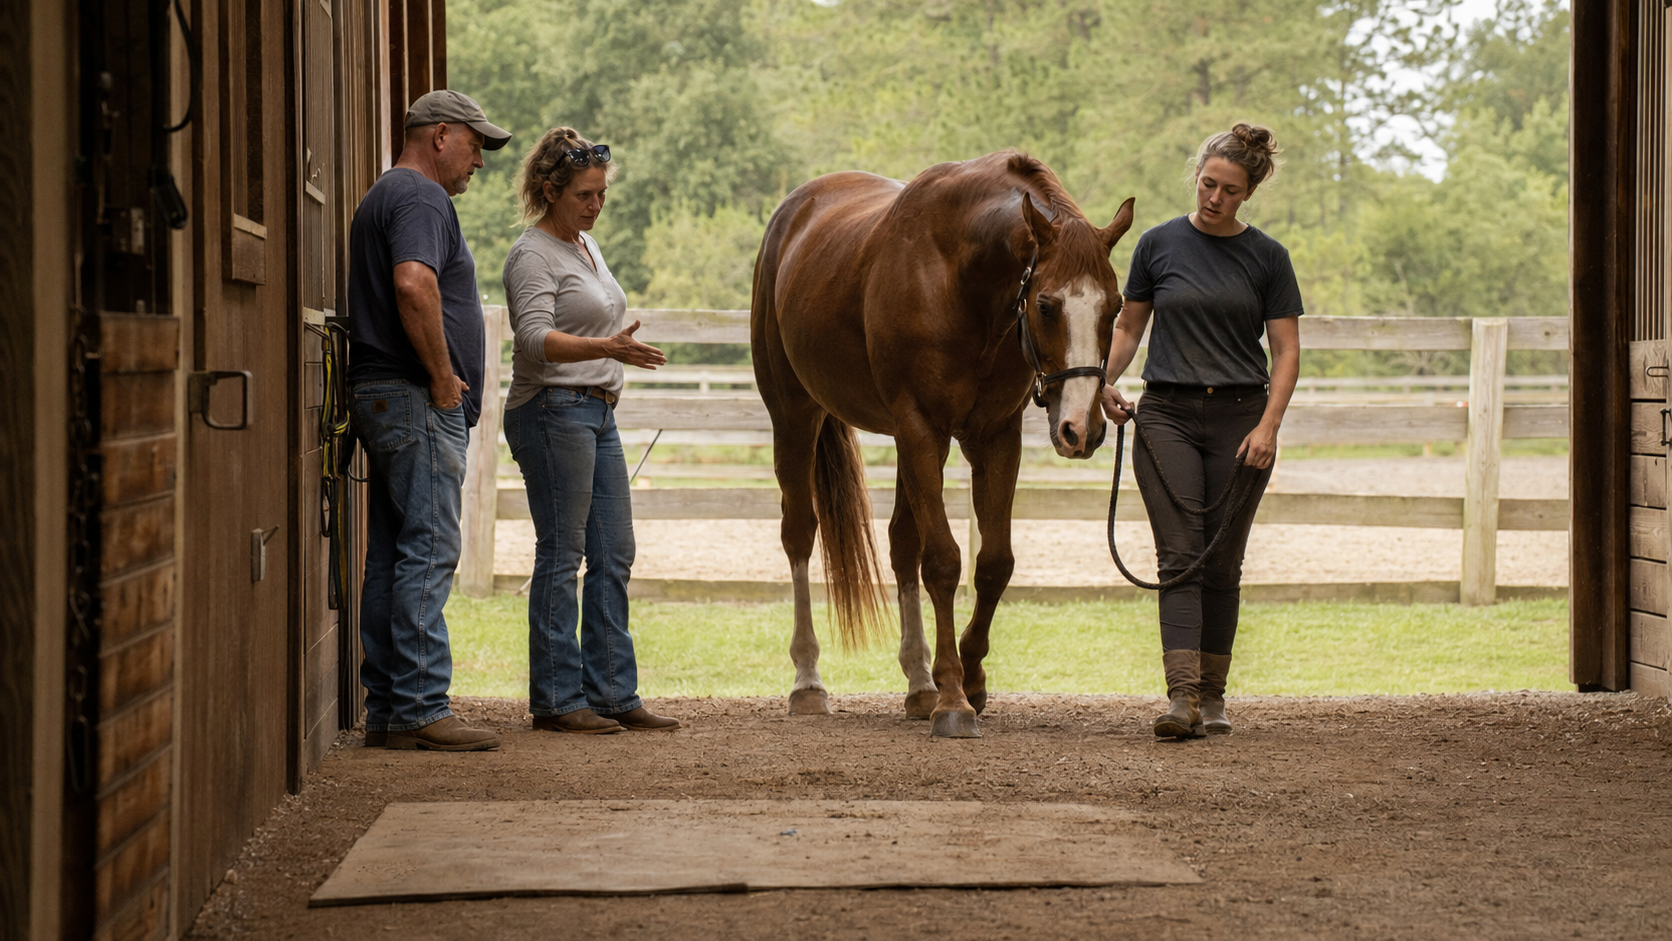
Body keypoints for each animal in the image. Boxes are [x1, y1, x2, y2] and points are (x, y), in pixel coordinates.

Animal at [750, 151, 1135, 738]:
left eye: (1114, 306)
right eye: (1047, 305)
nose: (1080, 428)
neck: (960, 281)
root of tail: (794, 211)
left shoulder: (992, 437)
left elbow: (993, 562)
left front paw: (969, 680)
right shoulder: (920, 428)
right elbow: (943, 562)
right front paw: (954, 697)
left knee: (900, 544)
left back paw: (917, 683)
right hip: (795, 415)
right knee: (799, 534)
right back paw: (809, 681)